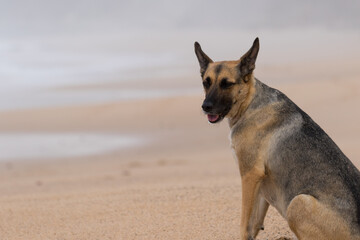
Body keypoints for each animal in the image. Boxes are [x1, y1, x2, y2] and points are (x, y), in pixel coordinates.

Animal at [194, 38, 360, 239]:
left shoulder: (250, 174)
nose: (205, 107)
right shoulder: (260, 184)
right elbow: (253, 224)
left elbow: (244, 224)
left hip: (297, 203)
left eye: (227, 84)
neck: (249, 104)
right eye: (206, 82)